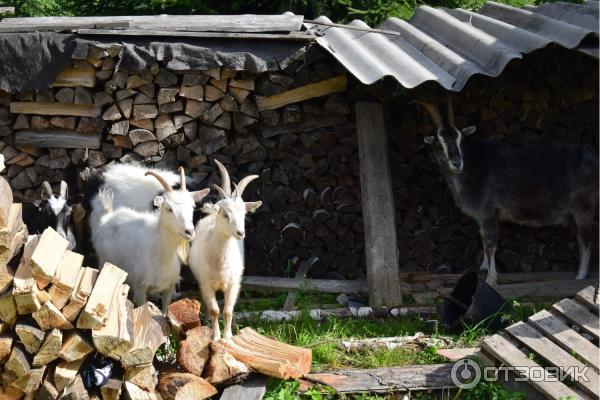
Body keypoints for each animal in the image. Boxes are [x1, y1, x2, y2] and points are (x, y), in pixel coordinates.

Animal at [91, 169, 209, 312]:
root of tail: (108, 216)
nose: (189, 231)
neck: (160, 254)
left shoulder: (169, 287)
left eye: (192, 207)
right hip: (103, 263)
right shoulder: (140, 287)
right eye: (169, 208)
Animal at [189, 160, 262, 340]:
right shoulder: (206, 284)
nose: (240, 233)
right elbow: (215, 310)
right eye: (225, 214)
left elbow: (228, 311)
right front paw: (215, 336)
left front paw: (228, 336)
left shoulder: (233, 284)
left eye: (244, 214)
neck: (220, 263)